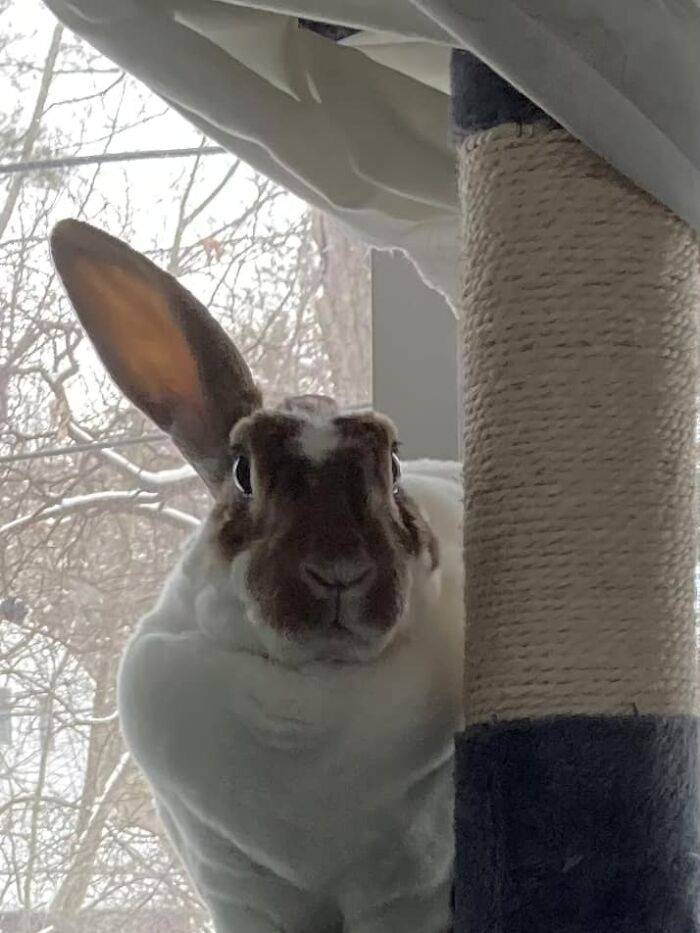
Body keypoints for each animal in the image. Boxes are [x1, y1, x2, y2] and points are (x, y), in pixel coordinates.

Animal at [50, 219, 464, 933]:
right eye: (243, 472)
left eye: (393, 467)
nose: (339, 572)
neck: (312, 686)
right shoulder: (246, 895)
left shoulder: (410, 895)